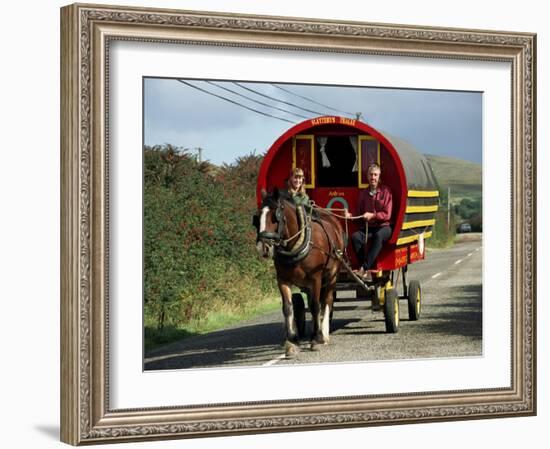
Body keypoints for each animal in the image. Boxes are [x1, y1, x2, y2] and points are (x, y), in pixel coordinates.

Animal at [253, 189, 344, 356]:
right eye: (257, 217)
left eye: (275, 216)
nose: (263, 247)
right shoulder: (282, 280)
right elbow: (288, 307)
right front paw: (291, 341)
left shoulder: (316, 278)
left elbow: (315, 306)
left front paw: (316, 339)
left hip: (332, 275)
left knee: (326, 301)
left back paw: (324, 333)